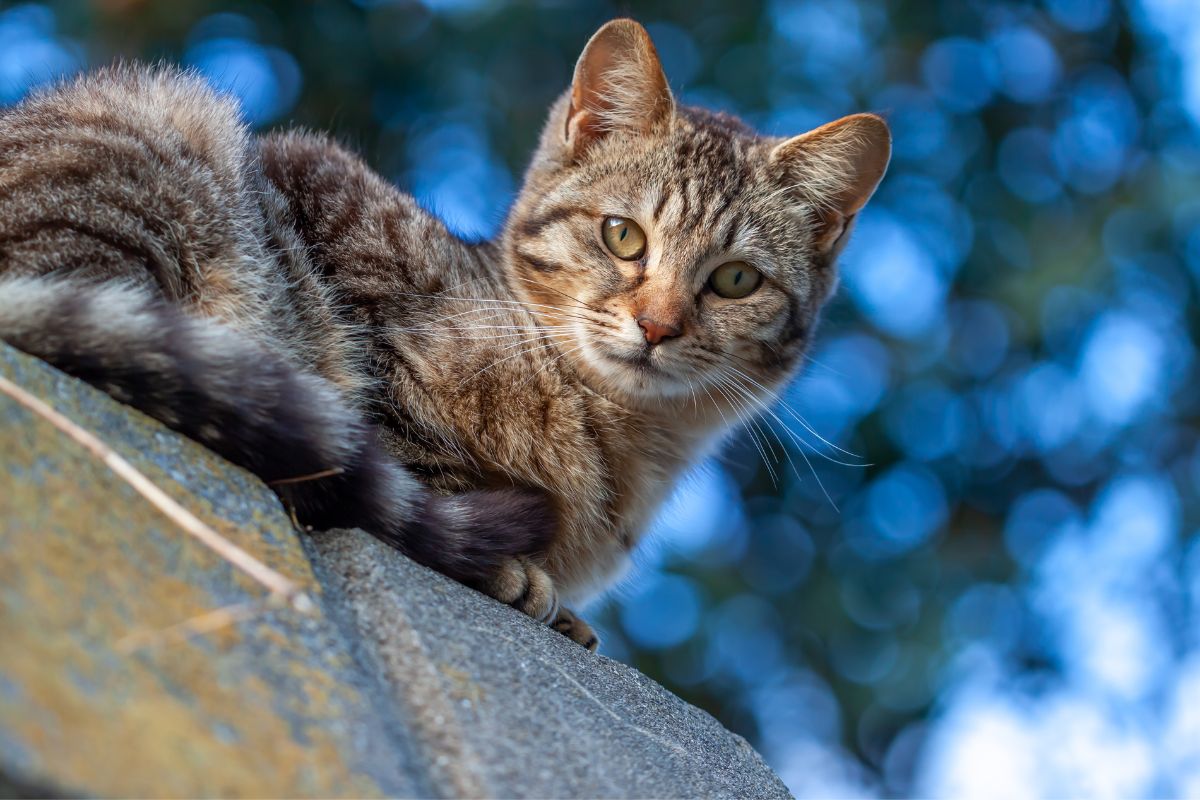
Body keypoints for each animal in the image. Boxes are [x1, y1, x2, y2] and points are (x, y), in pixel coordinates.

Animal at [0, 20, 892, 652]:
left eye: (736, 280)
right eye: (622, 236)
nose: (658, 324)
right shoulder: (333, 219)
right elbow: (391, 446)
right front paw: (516, 569)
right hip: (167, 150)